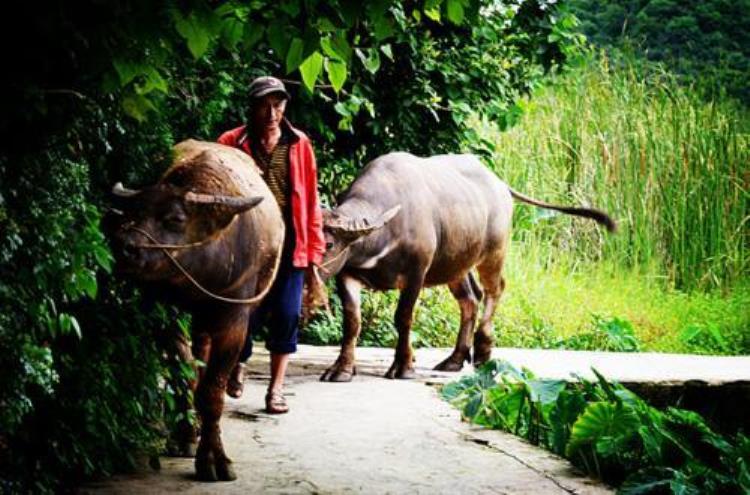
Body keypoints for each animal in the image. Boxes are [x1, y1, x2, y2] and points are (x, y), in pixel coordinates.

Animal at [109, 140, 288, 484]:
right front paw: (186, 436)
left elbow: (212, 390)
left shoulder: (234, 317)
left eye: (175, 219)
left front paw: (214, 459)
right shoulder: (164, 311)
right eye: (133, 212)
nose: (123, 245)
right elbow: (185, 375)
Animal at [318, 153, 616, 382]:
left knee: (495, 289)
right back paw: (455, 358)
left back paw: (483, 349)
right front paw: (341, 369)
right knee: (470, 299)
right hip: (456, 265)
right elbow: (352, 322)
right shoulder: (347, 273)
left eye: (330, 243)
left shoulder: (416, 272)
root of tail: (500, 185)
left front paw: (403, 366)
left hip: (494, 253)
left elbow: (403, 317)